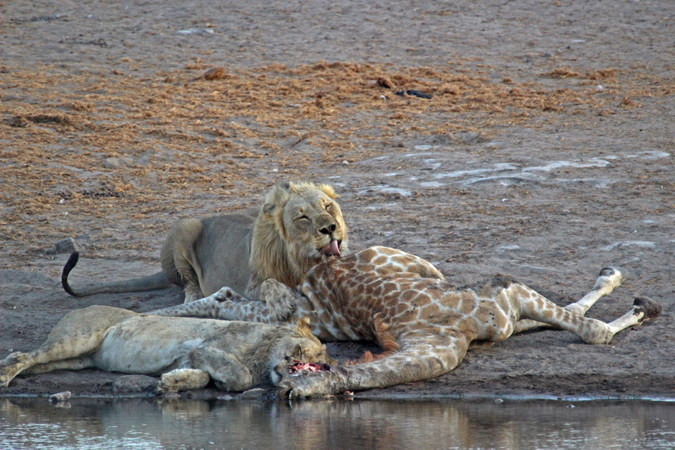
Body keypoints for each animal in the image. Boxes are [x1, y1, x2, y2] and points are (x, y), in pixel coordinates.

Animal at [0, 306, 330, 394]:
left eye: (323, 363)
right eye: (306, 352)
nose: (326, 367)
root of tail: (77, 308)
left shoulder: (192, 357)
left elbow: (201, 377)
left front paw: (171, 383)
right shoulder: (206, 347)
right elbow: (241, 376)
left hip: (77, 360)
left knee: (35, 362)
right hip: (77, 339)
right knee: (24, 356)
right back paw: (5, 376)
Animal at [59, 181, 348, 304]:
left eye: (327, 206)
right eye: (302, 216)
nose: (330, 228)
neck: (299, 259)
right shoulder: (249, 285)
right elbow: (271, 284)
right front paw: (283, 299)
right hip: (185, 225)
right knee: (187, 281)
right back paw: (194, 296)